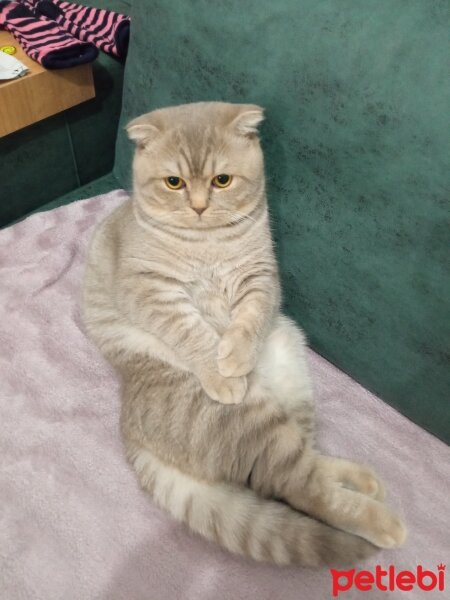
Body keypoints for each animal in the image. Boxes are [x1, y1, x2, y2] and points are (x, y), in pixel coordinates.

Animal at [82, 102, 406, 568]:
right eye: (174, 183)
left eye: (222, 180)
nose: (199, 207)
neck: (207, 243)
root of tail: (130, 432)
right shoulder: (151, 291)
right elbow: (191, 329)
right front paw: (223, 370)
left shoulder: (259, 279)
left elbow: (249, 319)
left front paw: (234, 355)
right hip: (250, 422)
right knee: (298, 488)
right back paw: (382, 521)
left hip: (290, 370)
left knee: (307, 467)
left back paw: (360, 479)